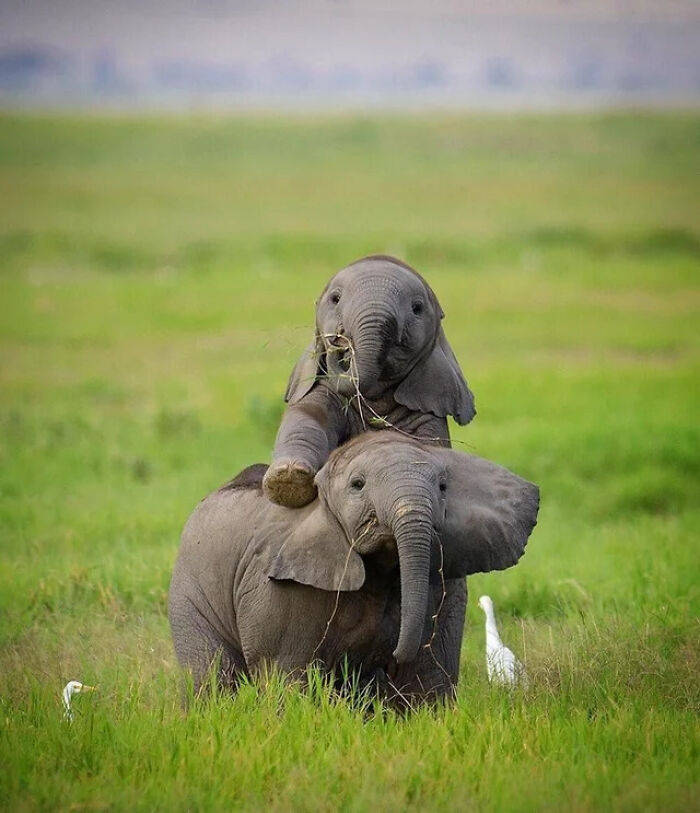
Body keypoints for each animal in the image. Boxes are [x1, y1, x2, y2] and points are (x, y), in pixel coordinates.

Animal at [167, 432, 540, 704]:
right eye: (357, 485)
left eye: (443, 487)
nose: (391, 657)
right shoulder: (279, 589)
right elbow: (288, 675)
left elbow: (427, 675)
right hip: (189, 590)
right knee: (211, 676)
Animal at [262, 254, 476, 508]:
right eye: (335, 299)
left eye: (417, 308)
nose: (338, 340)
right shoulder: (321, 388)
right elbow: (307, 418)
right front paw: (288, 480)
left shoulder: (427, 409)